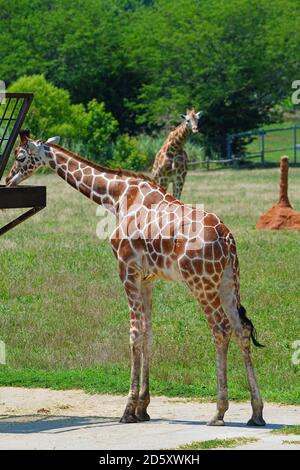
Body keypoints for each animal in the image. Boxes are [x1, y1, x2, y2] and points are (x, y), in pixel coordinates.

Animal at [6, 130, 264, 428]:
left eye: (20, 156)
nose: (8, 179)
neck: (117, 197)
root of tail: (227, 239)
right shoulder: (147, 278)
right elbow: (148, 332)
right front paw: (143, 408)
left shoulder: (126, 269)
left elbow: (134, 333)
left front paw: (128, 409)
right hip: (229, 281)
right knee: (241, 329)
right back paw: (256, 412)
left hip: (201, 282)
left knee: (220, 329)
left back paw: (219, 412)